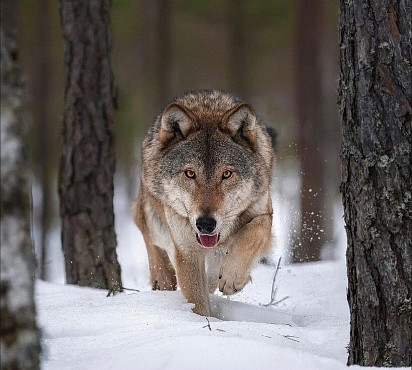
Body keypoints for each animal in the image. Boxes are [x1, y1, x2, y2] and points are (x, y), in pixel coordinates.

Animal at [134, 89, 276, 316]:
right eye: (190, 174)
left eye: (226, 174)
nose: (205, 224)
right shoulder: (187, 252)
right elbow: (197, 302)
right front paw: (203, 321)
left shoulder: (264, 212)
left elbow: (253, 232)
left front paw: (233, 278)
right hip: (153, 224)